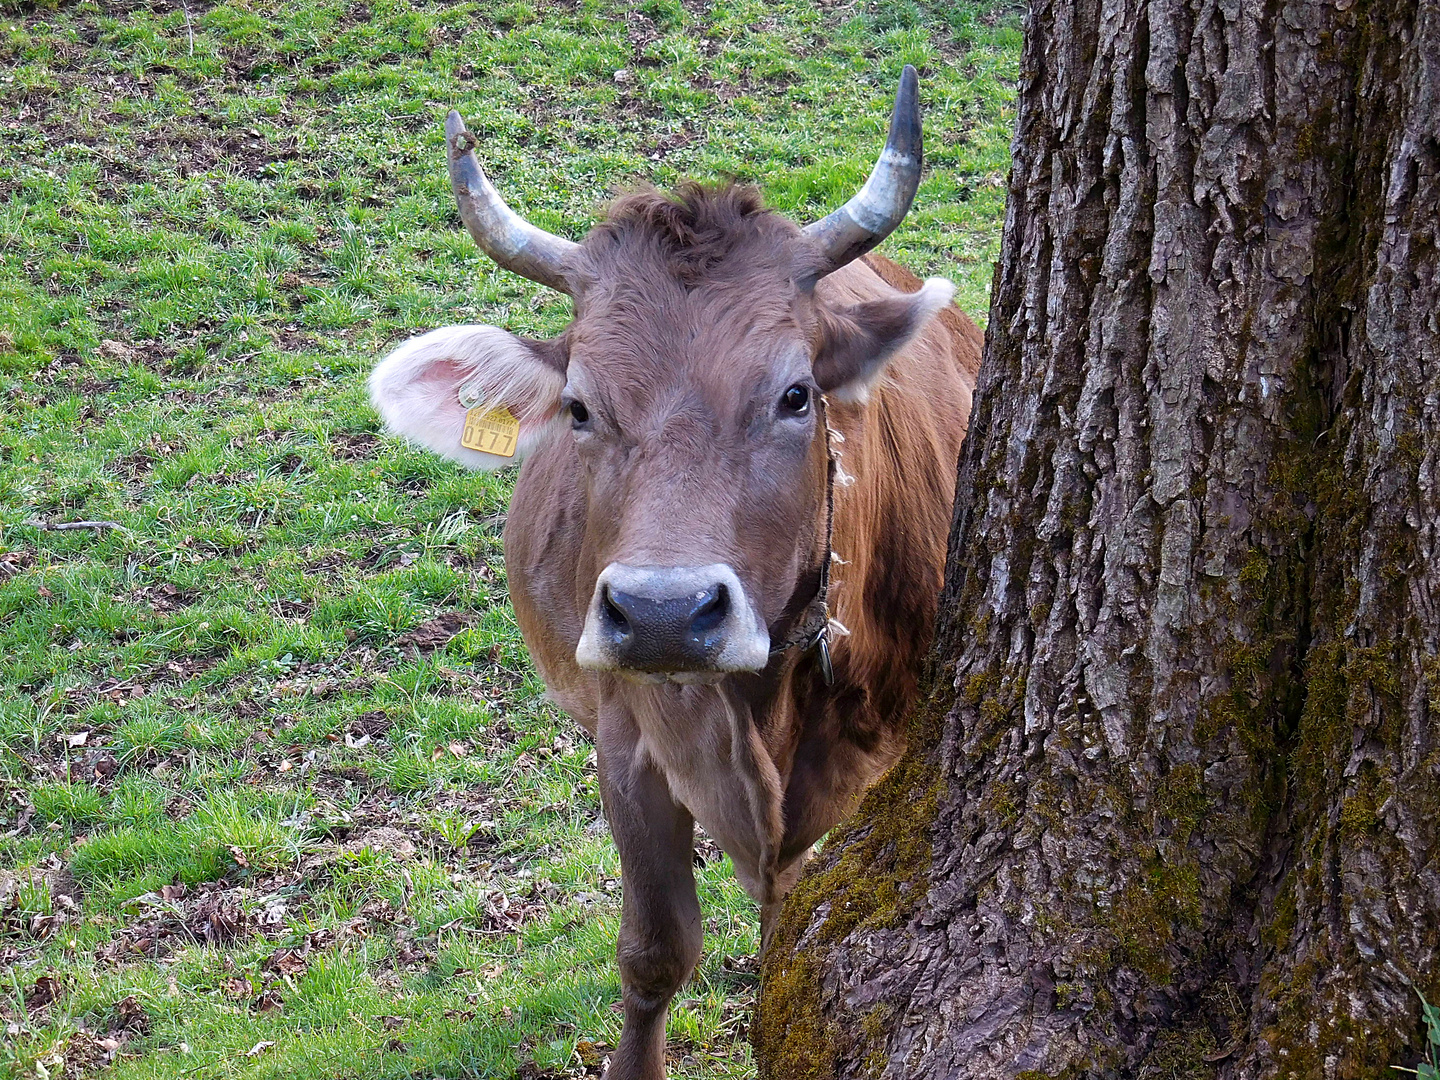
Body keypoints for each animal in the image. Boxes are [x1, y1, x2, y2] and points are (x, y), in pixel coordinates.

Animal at [365, 67, 984, 1080]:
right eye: (580, 407)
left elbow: (791, 942)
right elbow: (655, 951)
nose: (662, 612)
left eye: (795, 395)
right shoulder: (626, 740)